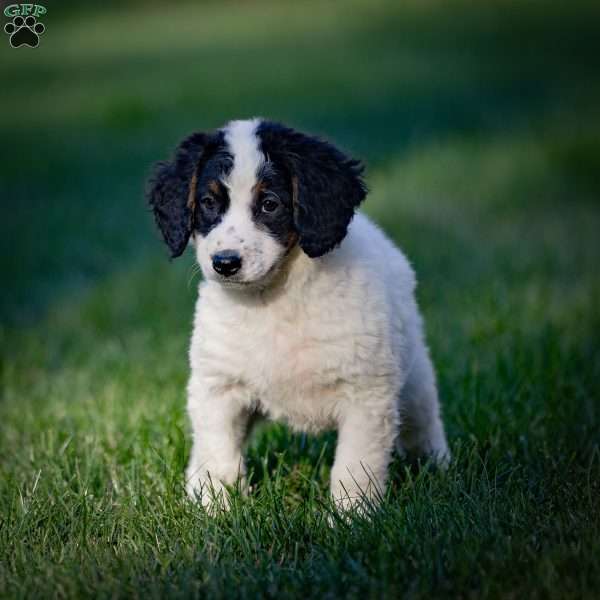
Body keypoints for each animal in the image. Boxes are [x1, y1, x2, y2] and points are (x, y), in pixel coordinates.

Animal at [149, 119, 450, 512]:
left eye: (270, 204)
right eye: (209, 203)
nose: (225, 263)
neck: (274, 301)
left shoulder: (365, 395)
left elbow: (355, 467)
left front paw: (351, 517)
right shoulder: (219, 388)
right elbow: (220, 456)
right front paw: (216, 511)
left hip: (413, 377)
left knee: (423, 421)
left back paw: (438, 466)